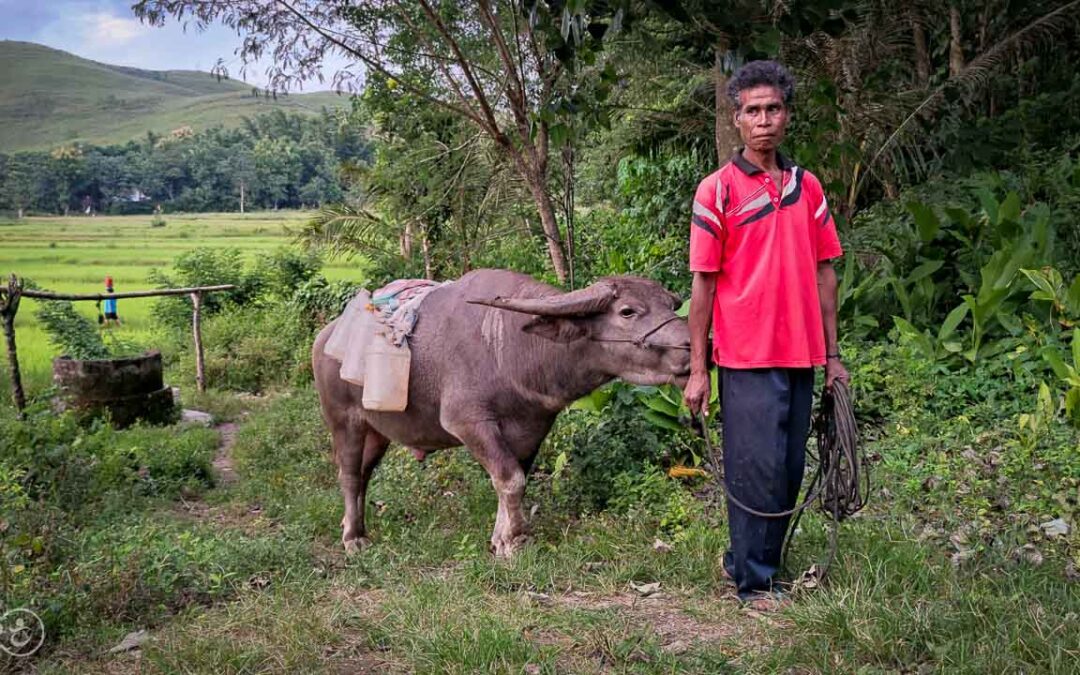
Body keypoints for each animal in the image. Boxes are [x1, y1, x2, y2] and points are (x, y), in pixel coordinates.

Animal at [313, 265, 691, 557]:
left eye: (670, 305)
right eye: (628, 311)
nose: (691, 345)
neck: (511, 348)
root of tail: (325, 336)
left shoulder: (533, 427)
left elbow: (512, 477)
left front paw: (500, 538)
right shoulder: (468, 422)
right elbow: (510, 478)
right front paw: (517, 540)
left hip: (378, 430)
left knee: (364, 474)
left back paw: (356, 525)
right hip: (343, 419)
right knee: (349, 474)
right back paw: (353, 538)